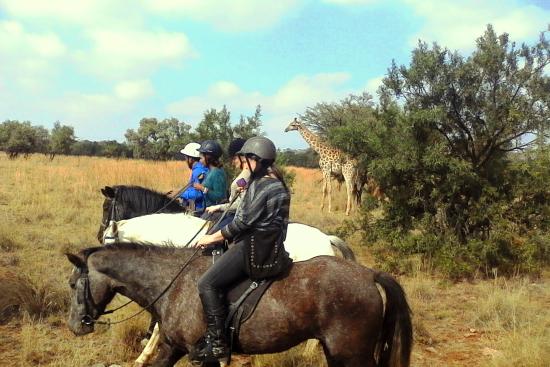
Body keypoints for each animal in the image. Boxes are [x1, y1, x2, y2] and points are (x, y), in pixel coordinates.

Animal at [66, 243, 414, 366]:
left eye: (72, 284)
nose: (74, 326)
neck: (172, 283)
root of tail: (368, 274)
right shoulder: (173, 347)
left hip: (352, 353)